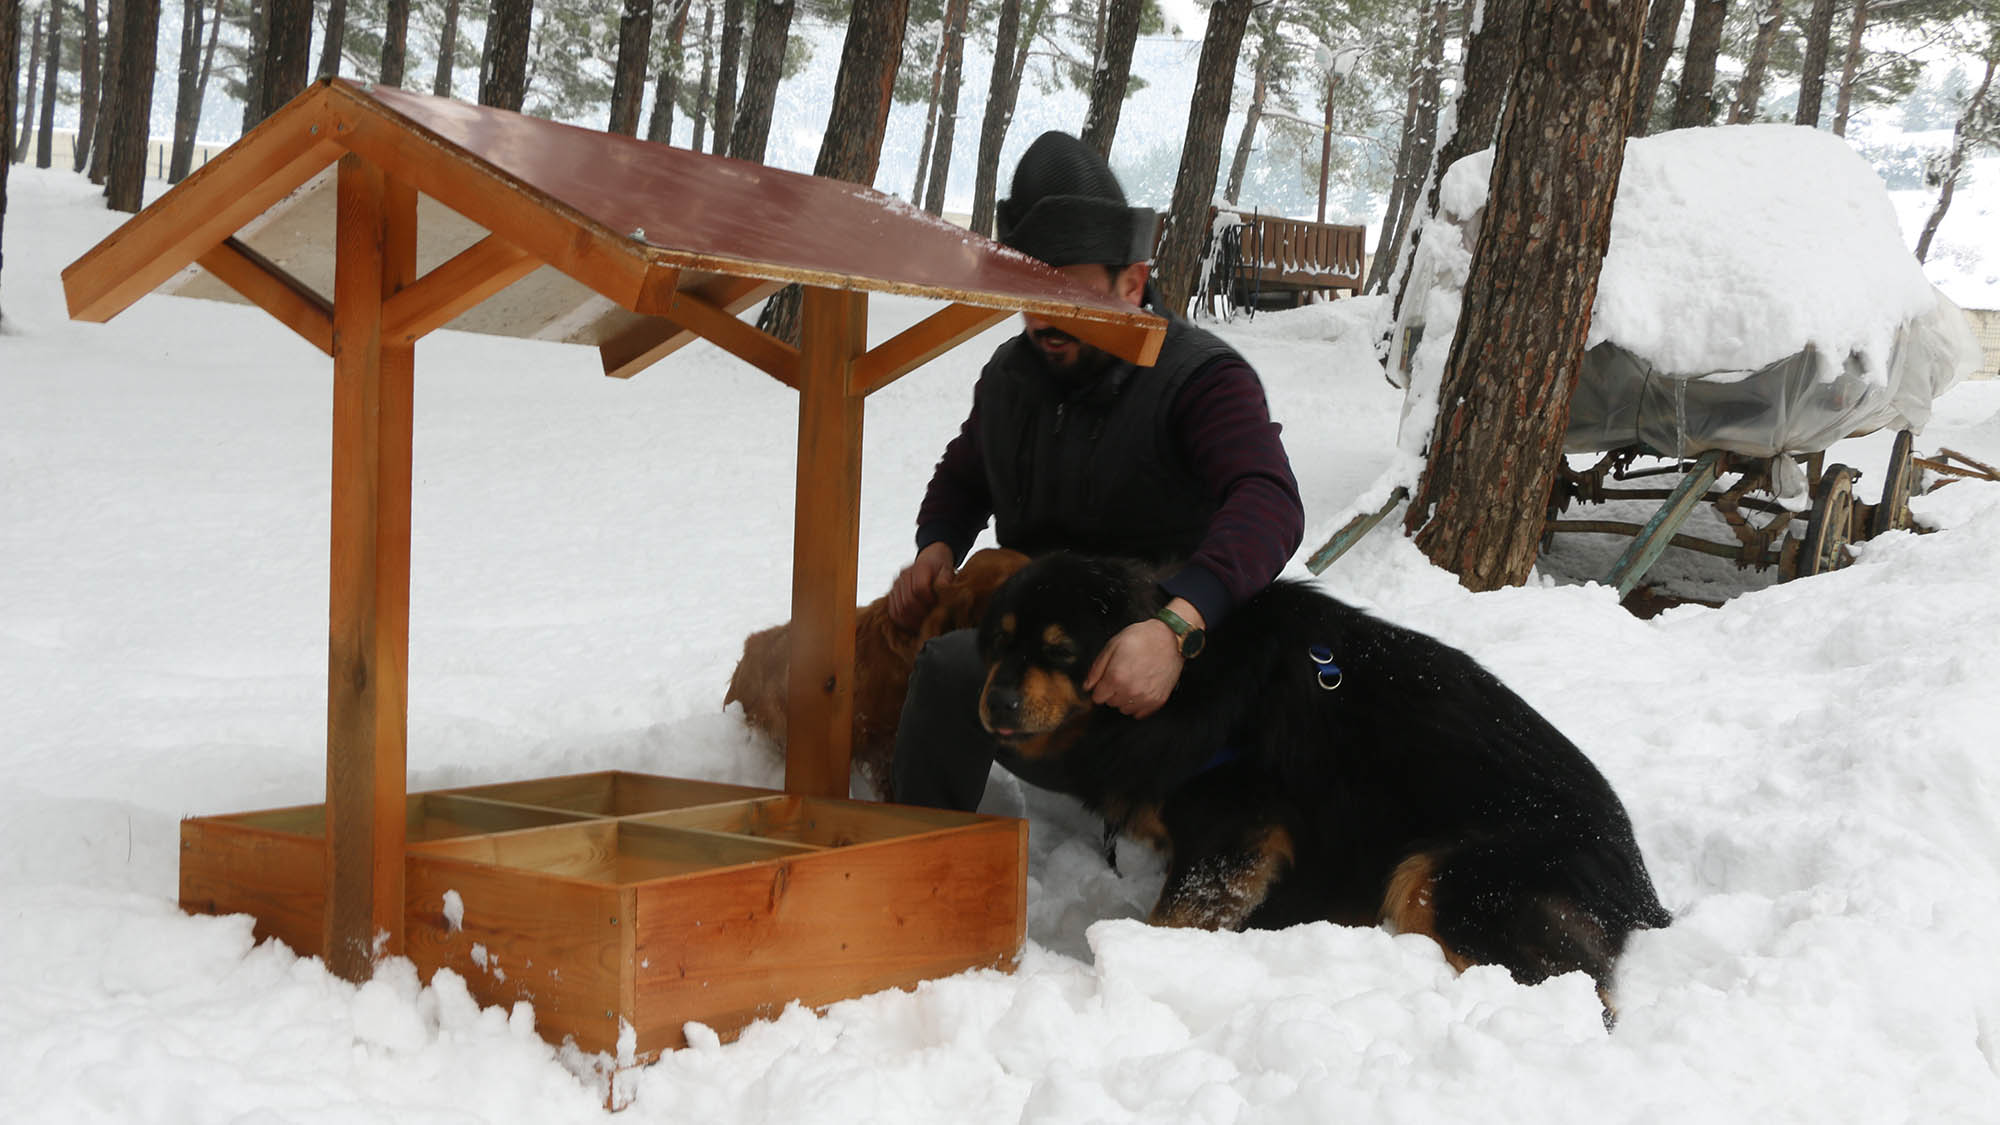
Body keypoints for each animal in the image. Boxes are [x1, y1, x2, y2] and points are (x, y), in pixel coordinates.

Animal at [980, 552, 1672, 1008]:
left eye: (1062, 651)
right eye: (998, 642)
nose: (996, 704)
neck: (1193, 679)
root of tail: (1639, 885)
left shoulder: (1232, 837)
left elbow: (1173, 919)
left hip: (1444, 877)